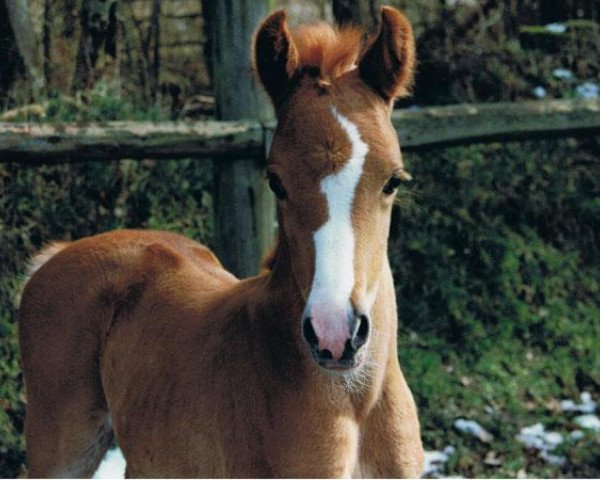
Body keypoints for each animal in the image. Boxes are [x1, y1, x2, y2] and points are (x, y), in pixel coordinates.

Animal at [17, 5, 422, 478]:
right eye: (276, 181)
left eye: (393, 180)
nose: (335, 333)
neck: (355, 406)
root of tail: (58, 253)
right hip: (61, 449)